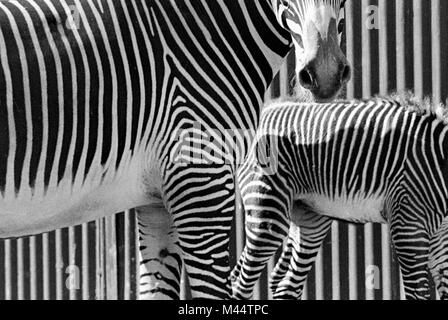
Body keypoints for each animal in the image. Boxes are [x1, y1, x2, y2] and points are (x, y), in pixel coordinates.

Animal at [231, 93, 448, 300]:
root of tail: (266, 109)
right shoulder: (408, 225)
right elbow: (418, 293)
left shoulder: (441, 233)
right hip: (267, 211)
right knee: (241, 284)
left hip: (310, 219)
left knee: (284, 285)